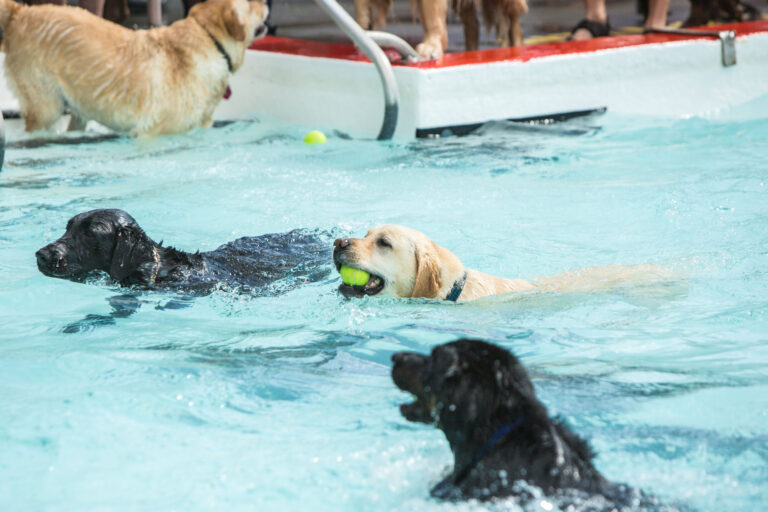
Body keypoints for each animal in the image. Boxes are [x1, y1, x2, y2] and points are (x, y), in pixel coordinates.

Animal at [0, 0, 270, 136]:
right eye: (251, 4)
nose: (266, 2)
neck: (209, 39)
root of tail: (22, 11)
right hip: (46, 106)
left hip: (77, 110)